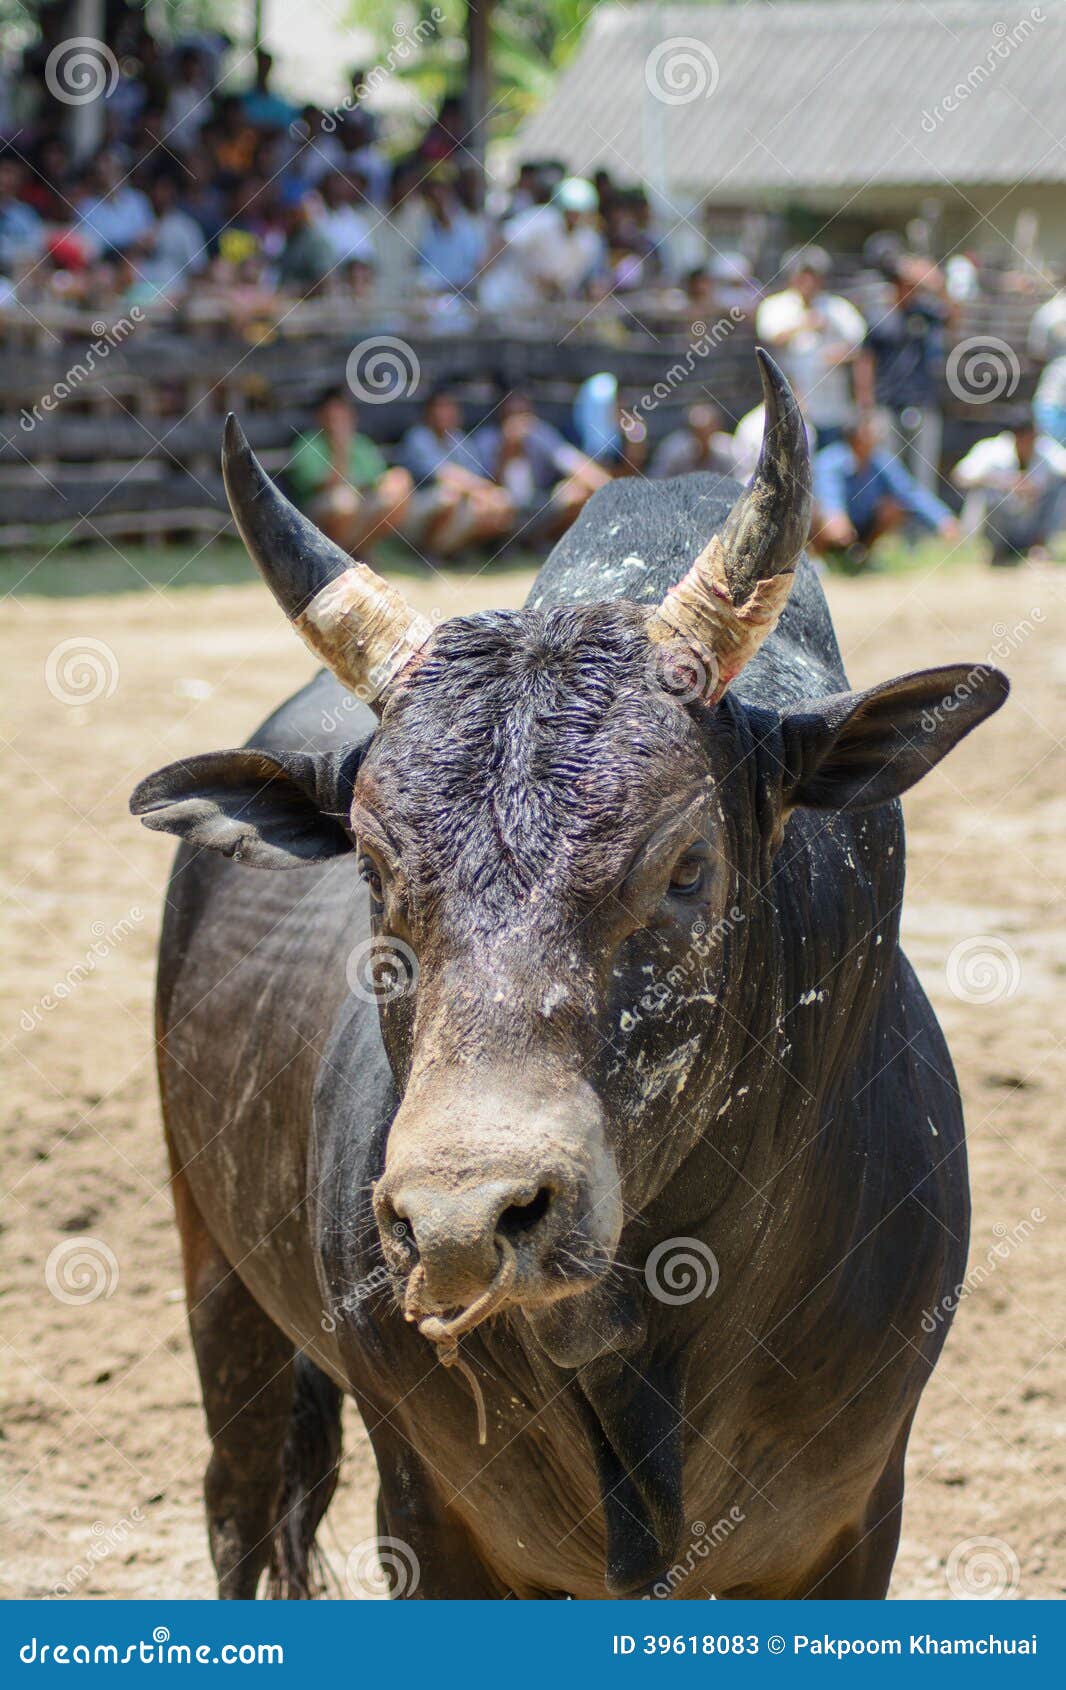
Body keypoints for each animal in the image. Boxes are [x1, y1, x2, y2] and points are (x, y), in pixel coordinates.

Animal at [133, 356, 1006, 1595]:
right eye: (375, 869)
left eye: (686, 865)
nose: (460, 1222)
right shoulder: (432, 1514)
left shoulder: (851, 1519)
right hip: (216, 1273)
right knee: (240, 1501)